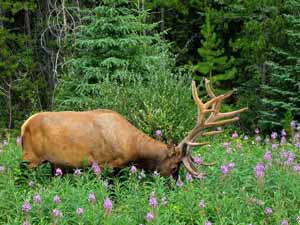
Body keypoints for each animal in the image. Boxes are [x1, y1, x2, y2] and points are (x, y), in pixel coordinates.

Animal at [20, 80, 246, 178]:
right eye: (174, 167)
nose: (173, 186)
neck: (132, 147)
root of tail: (24, 125)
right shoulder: (107, 164)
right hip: (30, 157)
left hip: (49, 163)